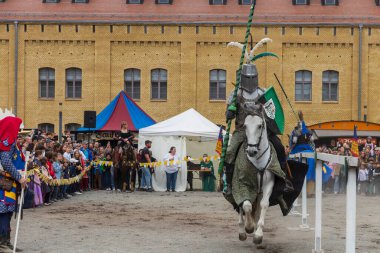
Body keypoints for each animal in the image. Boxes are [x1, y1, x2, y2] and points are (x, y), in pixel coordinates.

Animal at [239, 106, 274, 245]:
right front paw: (249, 227)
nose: (251, 151)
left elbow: (264, 204)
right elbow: (246, 205)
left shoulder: (269, 184)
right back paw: (242, 230)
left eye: (260, 126)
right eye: (245, 125)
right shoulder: (243, 183)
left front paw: (258, 234)